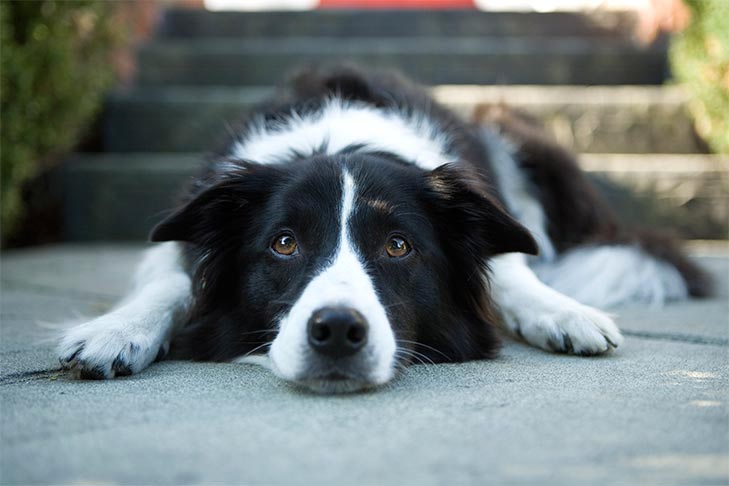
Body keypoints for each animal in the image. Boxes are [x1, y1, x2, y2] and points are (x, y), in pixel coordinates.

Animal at [58, 64, 712, 392]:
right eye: (284, 244)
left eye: (398, 246)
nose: (336, 332)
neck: (339, 138)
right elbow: (171, 279)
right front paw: (115, 332)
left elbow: (509, 271)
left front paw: (563, 313)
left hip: (511, 128)